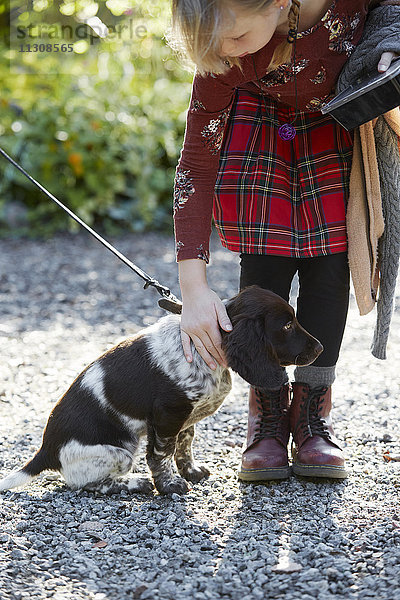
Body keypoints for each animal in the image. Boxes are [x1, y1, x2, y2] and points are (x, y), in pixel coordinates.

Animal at [0, 286, 322, 496]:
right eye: (287, 325)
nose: (320, 348)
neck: (202, 347)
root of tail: (46, 451)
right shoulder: (168, 414)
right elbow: (161, 453)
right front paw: (169, 486)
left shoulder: (186, 415)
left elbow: (185, 442)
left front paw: (190, 471)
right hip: (118, 452)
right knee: (84, 483)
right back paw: (134, 484)